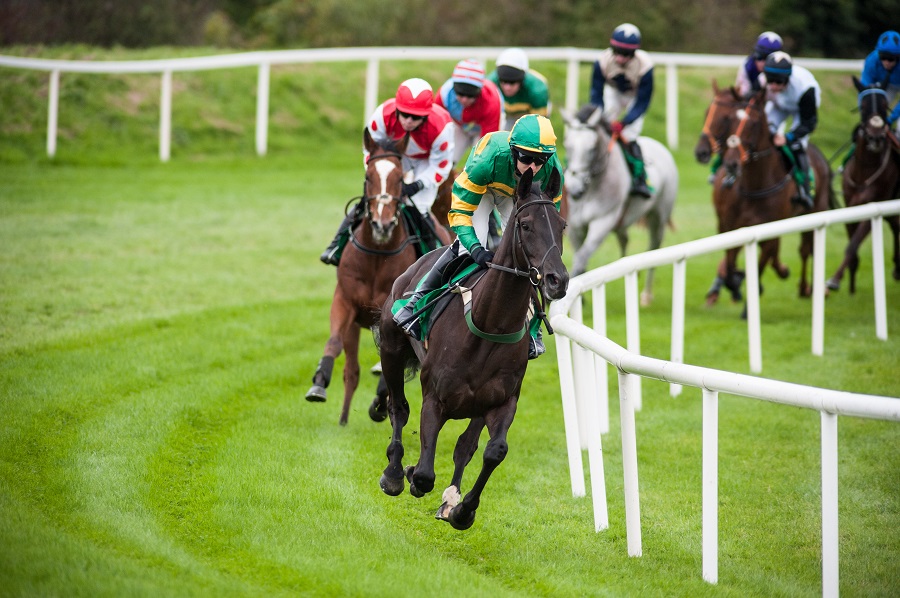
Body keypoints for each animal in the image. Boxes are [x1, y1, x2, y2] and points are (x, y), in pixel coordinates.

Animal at [306, 130, 422, 426]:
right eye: (369, 176)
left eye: (400, 178)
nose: (383, 224)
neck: (378, 255)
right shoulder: (345, 300)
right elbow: (334, 343)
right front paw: (319, 383)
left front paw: (379, 403)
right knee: (352, 371)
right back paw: (344, 419)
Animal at [376, 166, 568, 532]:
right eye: (526, 225)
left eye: (562, 224)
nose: (558, 280)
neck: (490, 327)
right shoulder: (434, 398)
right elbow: (424, 473)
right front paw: (410, 474)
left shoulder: (500, 401)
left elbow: (491, 450)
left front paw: (461, 509)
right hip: (392, 350)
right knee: (398, 408)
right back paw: (393, 473)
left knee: (465, 445)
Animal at [560, 103, 680, 308]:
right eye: (567, 145)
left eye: (591, 148)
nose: (574, 189)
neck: (592, 188)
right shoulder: (576, 226)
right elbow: (578, 255)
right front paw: (580, 297)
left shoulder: (602, 222)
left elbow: (582, 256)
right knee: (624, 239)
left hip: (659, 216)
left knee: (654, 247)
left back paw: (646, 294)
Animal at [716, 89, 836, 310]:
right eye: (729, 120)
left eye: (754, 123)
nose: (731, 164)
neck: (755, 186)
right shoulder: (731, 227)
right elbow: (730, 268)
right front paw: (737, 280)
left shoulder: (767, 229)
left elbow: (759, 266)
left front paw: (749, 305)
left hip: (815, 211)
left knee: (807, 249)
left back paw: (811, 288)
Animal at [828, 79, 900, 296]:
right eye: (863, 106)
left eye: (885, 105)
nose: (875, 137)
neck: (866, 170)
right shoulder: (851, 207)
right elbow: (851, 244)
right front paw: (848, 283)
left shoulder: (873, 206)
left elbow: (852, 245)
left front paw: (833, 281)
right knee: (895, 225)